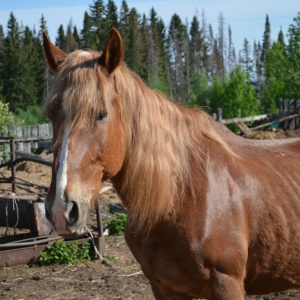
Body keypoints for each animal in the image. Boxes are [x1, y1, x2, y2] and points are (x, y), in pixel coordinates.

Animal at [42, 27, 300, 298]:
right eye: (51, 114)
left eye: (101, 114)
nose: (60, 210)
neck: (179, 195)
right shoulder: (164, 287)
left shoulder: (226, 285)